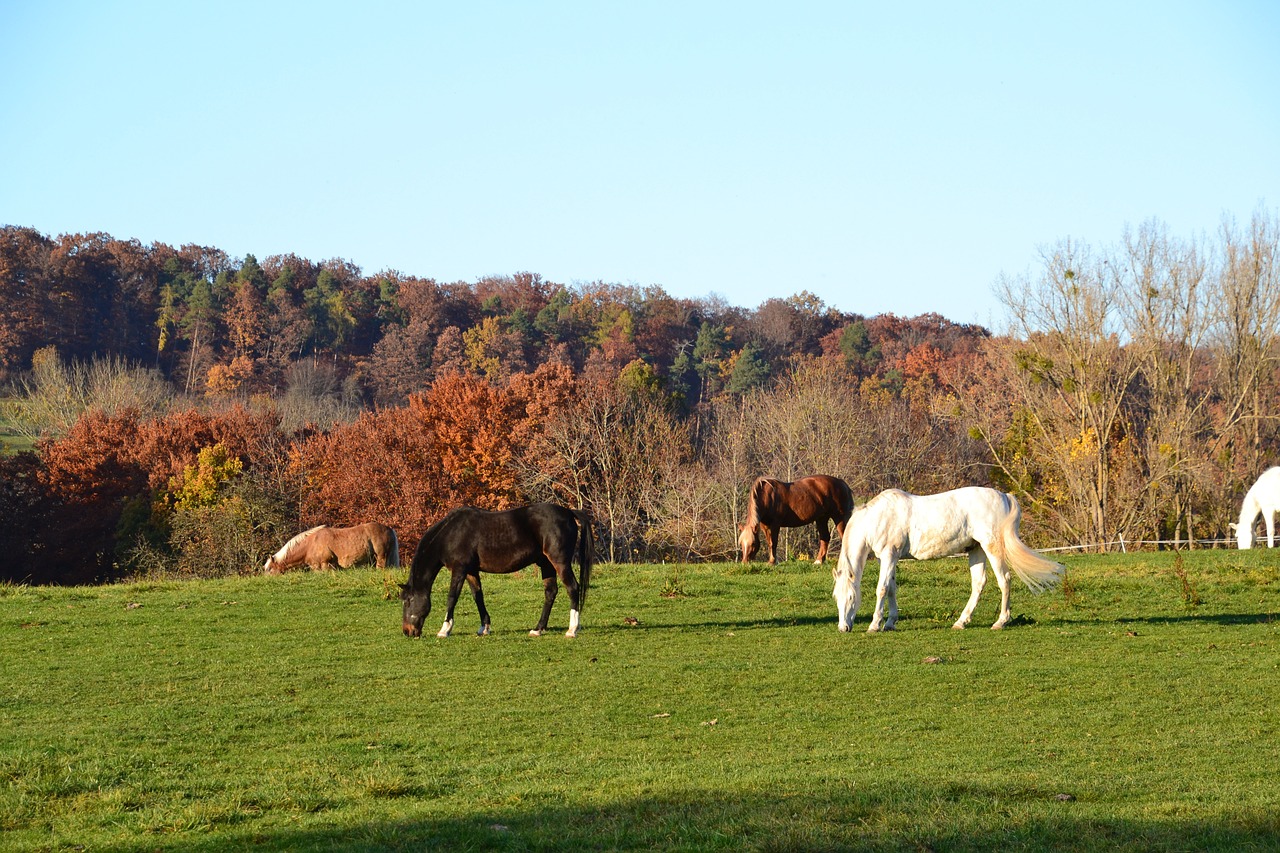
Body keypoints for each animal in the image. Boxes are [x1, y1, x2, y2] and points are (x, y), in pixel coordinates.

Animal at [399, 502, 593, 635]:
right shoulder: (471, 571)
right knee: (551, 592)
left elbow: (452, 597)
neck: (450, 534)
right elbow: (478, 596)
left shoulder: (459, 570)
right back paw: (538, 629)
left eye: (408, 601)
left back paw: (572, 629)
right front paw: (484, 627)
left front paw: (445, 629)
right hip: (546, 564)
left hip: (560, 562)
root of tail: (568, 512)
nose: (407, 631)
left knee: (572, 588)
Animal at [834, 484, 1064, 630]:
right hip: (976, 549)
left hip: (992, 547)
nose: (843, 627)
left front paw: (875, 625)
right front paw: (890, 623)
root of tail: (1004, 495)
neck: (877, 519)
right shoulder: (889, 559)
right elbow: (891, 589)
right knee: (979, 583)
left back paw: (1000, 622)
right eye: (836, 597)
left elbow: (881, 589)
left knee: (1004, 580)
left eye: (852, 597)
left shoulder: (889, 555)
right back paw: (961, 622)